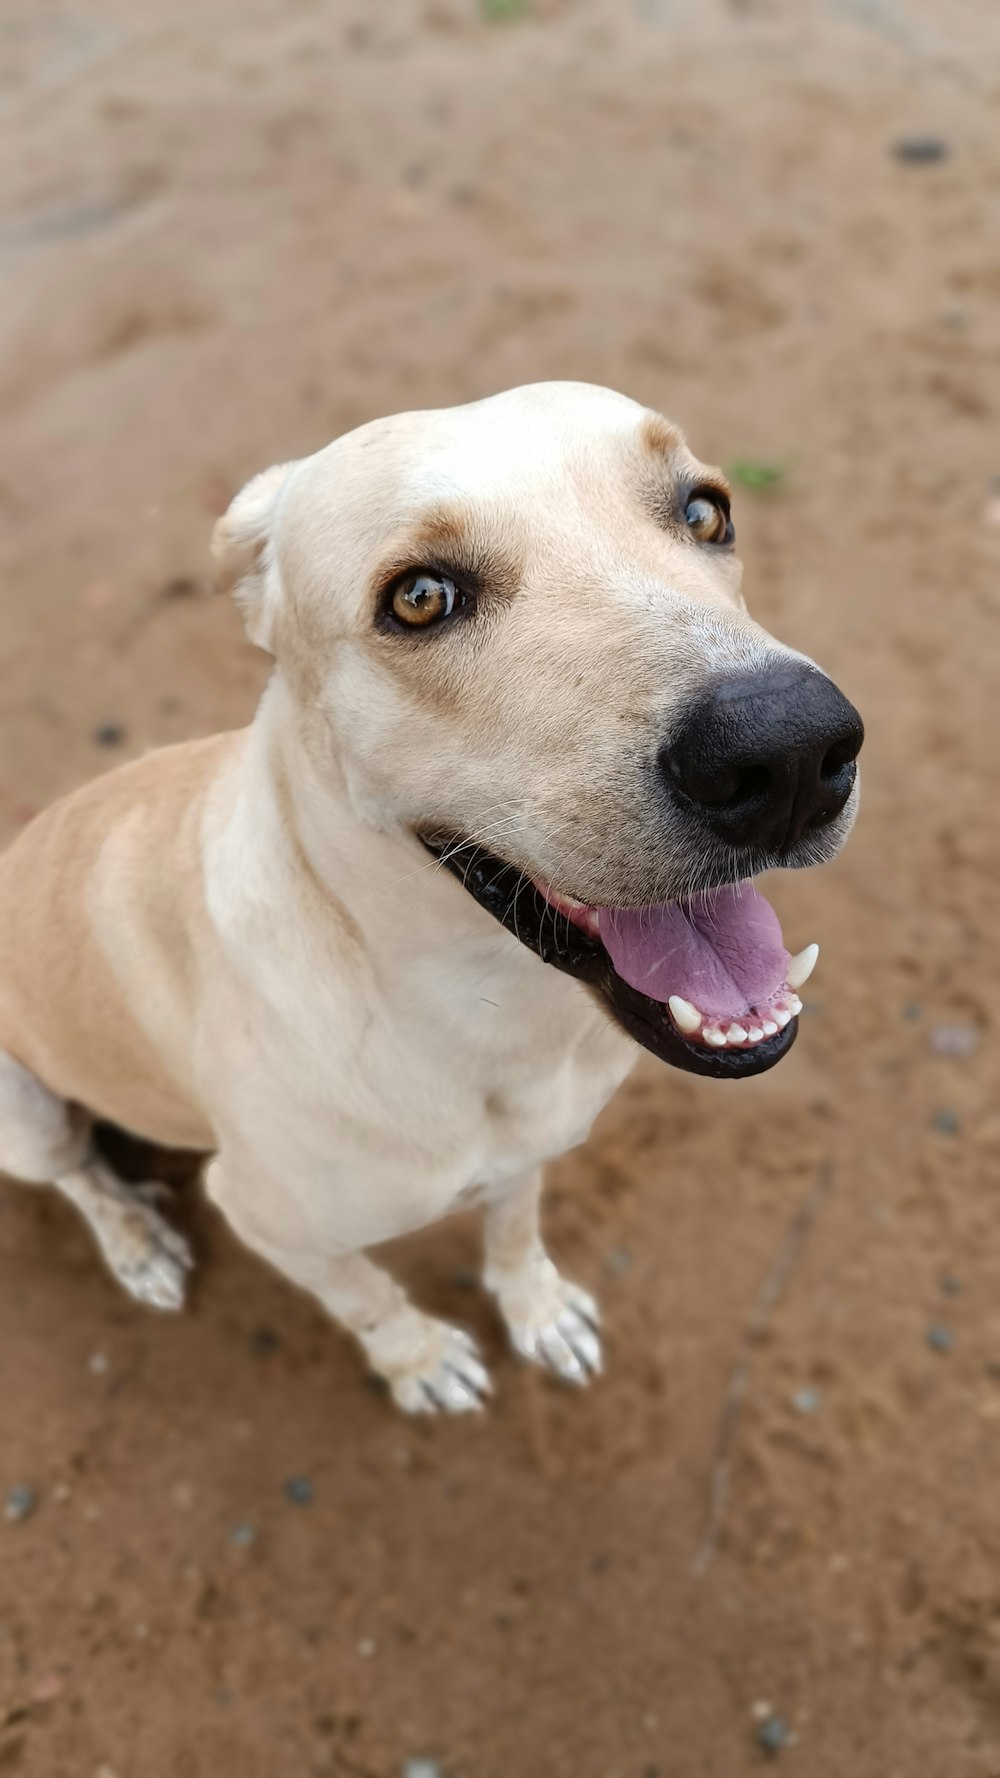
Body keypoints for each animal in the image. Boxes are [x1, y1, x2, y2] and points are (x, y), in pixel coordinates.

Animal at [0, 385, 857, 1415]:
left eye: (705, 512)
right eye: (419, 598)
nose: (791, 752)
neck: (476, 1015)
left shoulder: (529, 1150)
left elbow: (516, 1231)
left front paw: (537, 1310)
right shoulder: (272, 1223)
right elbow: (369, 1297)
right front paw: (419, 1362)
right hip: (24, 1115)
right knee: (79, 1176)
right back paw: (136, 1240)